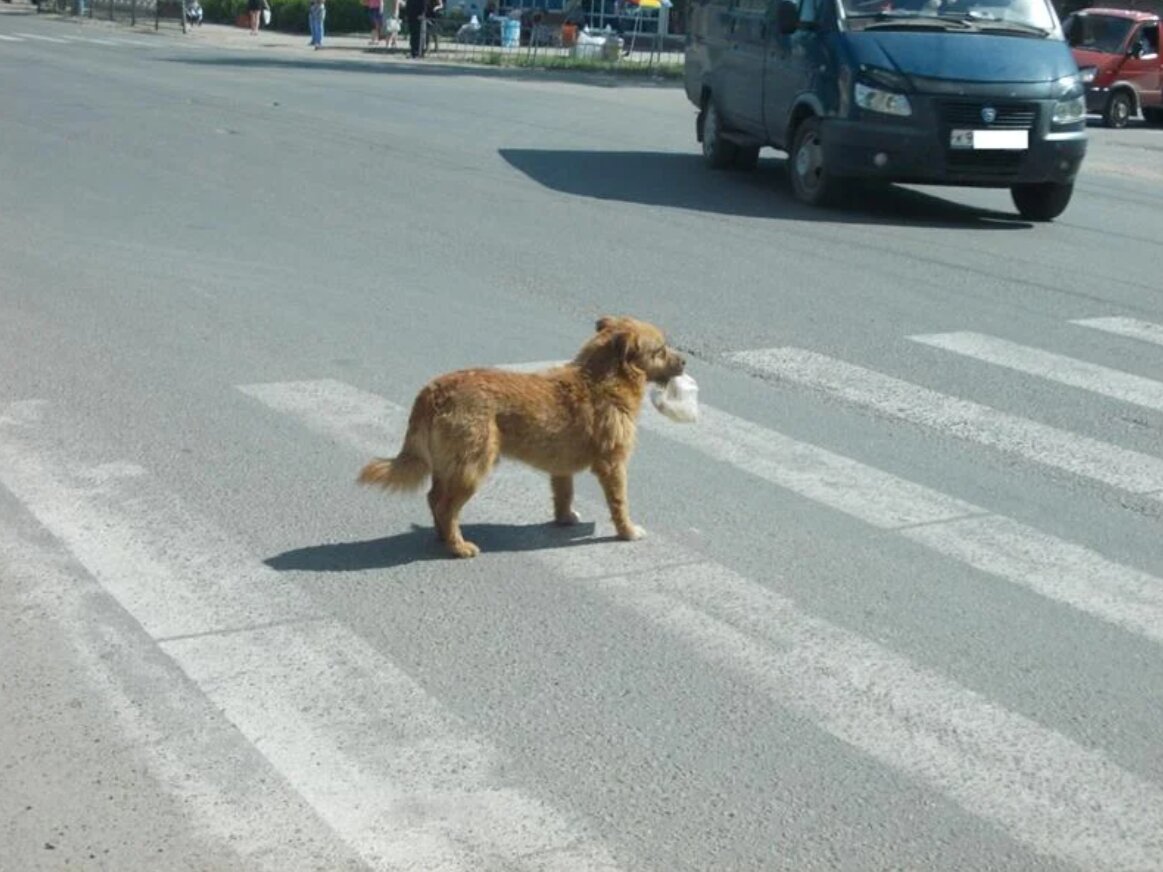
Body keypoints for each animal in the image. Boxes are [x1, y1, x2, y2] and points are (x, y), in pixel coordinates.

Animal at [358, 318, 683, 555]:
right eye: (660, 351)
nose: (684, 363)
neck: (600, 379)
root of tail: (433, 391)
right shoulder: (613, 464)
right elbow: (619, 502)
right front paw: (627, 531)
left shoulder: (561, 468)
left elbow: (564, 495)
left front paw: (564, 519)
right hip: (472, 467)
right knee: (445, 507)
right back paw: (458, 546)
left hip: (448, 464)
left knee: (434, 498)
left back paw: (443, 537)